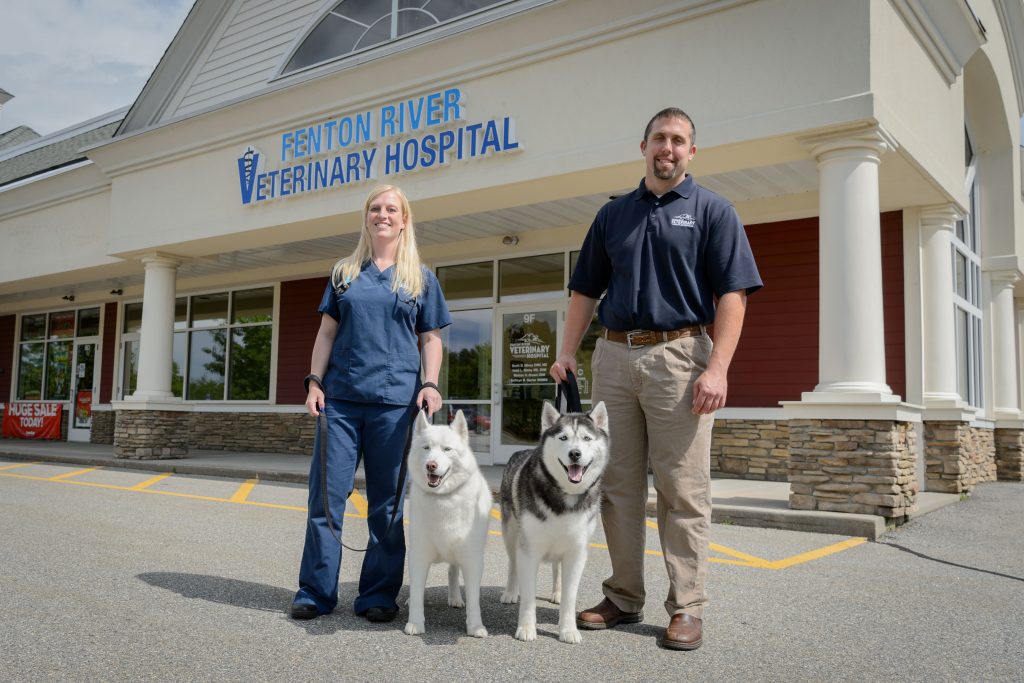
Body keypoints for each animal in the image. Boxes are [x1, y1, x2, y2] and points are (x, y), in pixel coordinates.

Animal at [403, 409, 491, 638]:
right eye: (426, 448)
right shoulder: (419, 555)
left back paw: (455, 598)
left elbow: (474, 600)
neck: (443, 498)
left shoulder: (472, 559)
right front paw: (415, 623)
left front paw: (475, 626)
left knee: (452, 571)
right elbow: (417, 593)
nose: (431, 465)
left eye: (447, 449)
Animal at [497, 397, 602, 643]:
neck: (564, 496)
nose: (575, 454)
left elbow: (570, 597)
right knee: (513, 563)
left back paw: (557, 592)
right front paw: (526, 628)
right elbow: (528, 595)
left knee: (557, 567)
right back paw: (510, 592)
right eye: (563, 438)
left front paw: (568, 629)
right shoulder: (529, 550)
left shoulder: (576, 552)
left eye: (586, 438)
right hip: (511, 533)